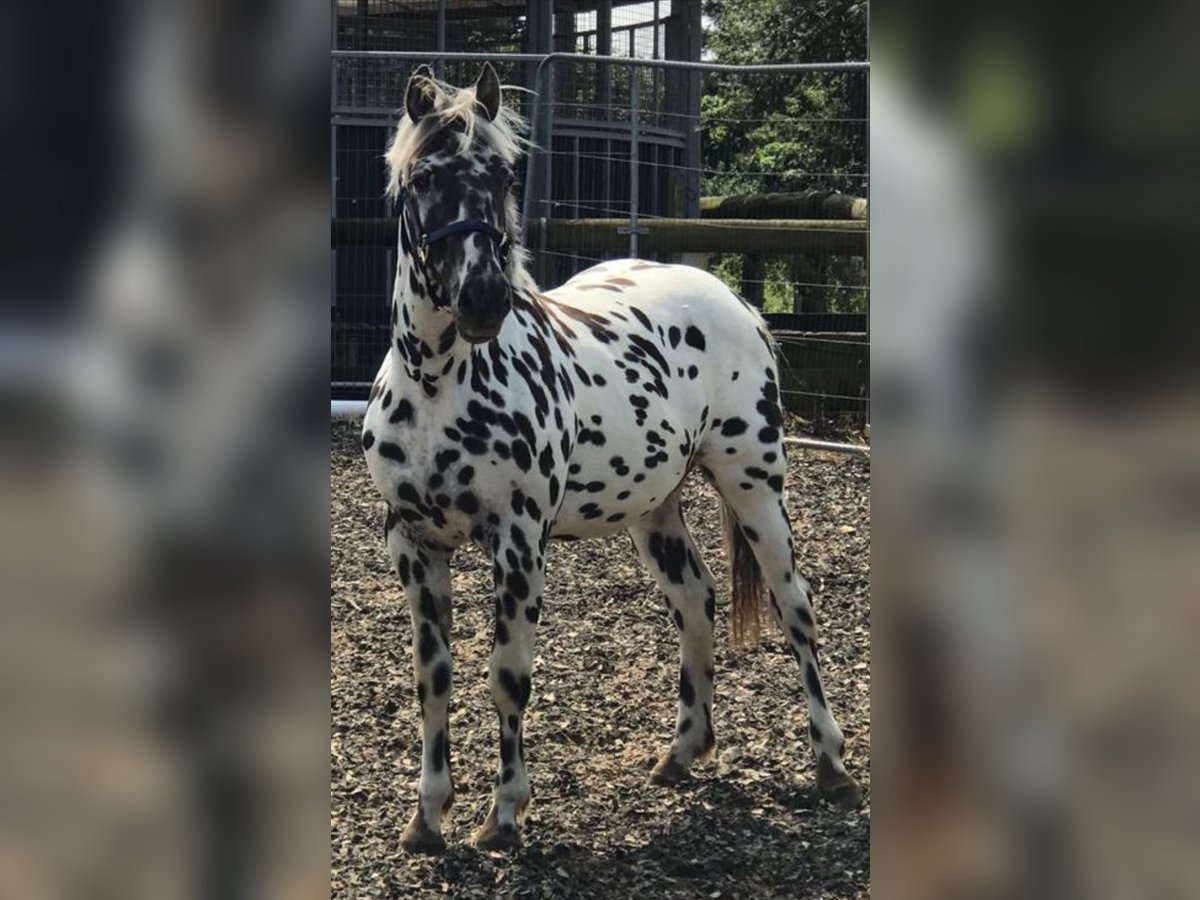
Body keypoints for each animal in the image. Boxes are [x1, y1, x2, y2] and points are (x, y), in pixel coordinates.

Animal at [360, 63, 868, 854]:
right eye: (422, 178)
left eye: (505, 174)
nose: (483, 300)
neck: (441, 384)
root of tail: (734, 303)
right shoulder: (411, 543)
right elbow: (433, 677)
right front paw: (427, 819)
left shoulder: (517, 542)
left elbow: (507, 674)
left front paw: (503, 815)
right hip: (654, 509)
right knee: (696, 601)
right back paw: (682, 751)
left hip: (755, 485)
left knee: (796, 608)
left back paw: (831, 765)